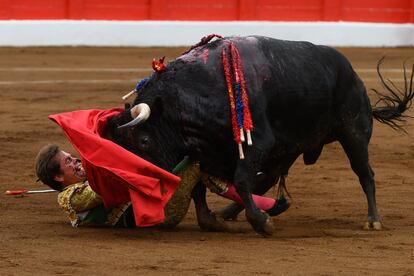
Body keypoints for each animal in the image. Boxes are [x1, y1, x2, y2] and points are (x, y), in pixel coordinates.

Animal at [107, 35, 414, 236]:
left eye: (144, 141)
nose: (129, 211)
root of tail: (353, 74)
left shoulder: (255, 143)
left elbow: (242, 179)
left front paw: (261, 223)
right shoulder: (202, 151)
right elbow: (199, 189)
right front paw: (213, 219)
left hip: (353, 133)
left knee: (365, 173)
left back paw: (373, 219)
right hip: (290, 146)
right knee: (269, 178)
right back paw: (233, 213)